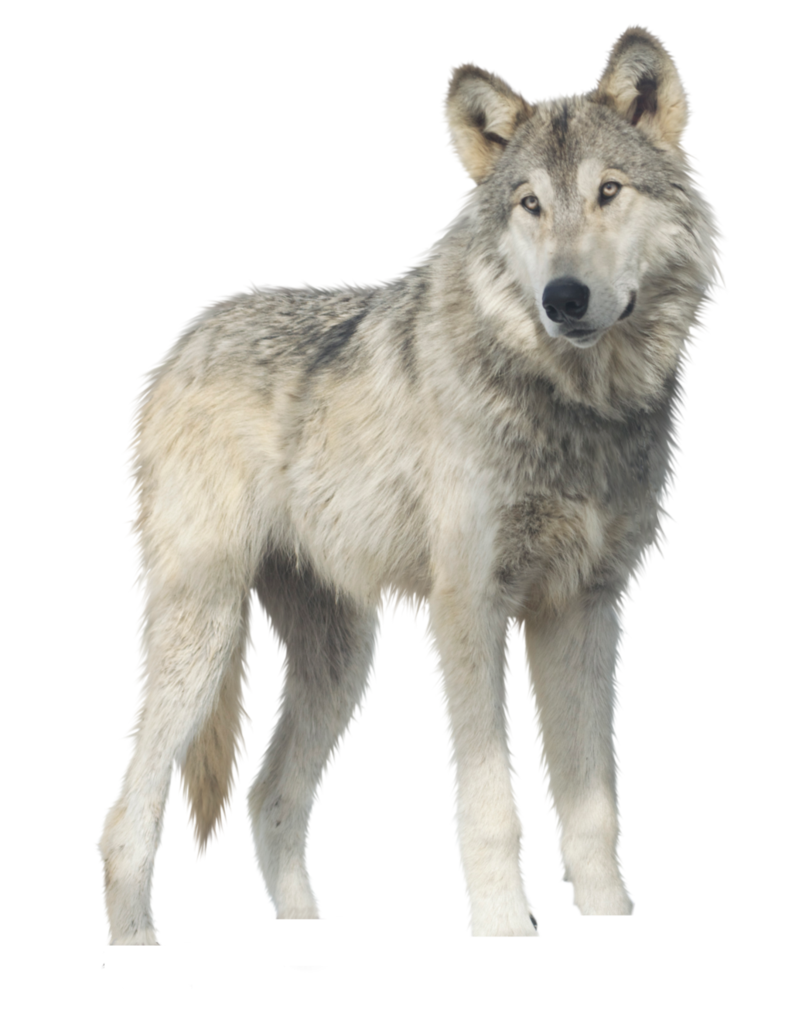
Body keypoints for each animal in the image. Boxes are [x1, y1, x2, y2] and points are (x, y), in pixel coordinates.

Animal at [96, 23, 727, 943]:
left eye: (608, 191)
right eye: (530, 205)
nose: (564, 297)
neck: (574, 407)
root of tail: (178, 339)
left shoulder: (586, 614)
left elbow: (593, 814)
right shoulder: (471, 613)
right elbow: (493, 809)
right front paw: (506, 928)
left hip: (341, 662)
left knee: (268, 797)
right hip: (203, 635)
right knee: (126, 819)